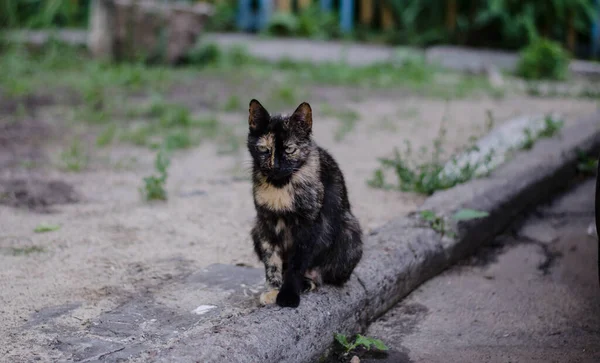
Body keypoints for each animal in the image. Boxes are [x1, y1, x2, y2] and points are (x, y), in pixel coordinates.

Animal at [247, 98, 364, 308]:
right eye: (263, 149)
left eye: (289, 149)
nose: (274, 166)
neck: (280, 185)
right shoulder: (265, 223)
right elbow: (272, 261)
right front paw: (273, 289)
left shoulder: (309, 224)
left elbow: (297, 263)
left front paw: (287, 295)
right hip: (255, 230)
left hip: (350, 231)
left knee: (325, 276)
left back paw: (307, 282)